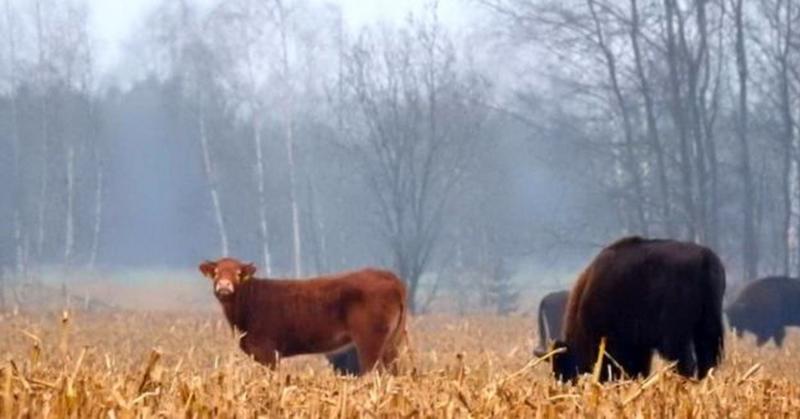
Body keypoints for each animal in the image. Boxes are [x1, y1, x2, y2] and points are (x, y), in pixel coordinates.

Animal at [200, 258, 406, 376]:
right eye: (216, 272)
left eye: (238, 273)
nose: (224, 286)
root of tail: (390, 277)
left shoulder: (267, 351)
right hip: (392, 342)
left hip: (370, 341)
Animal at [552, 238, 724, 382]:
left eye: (562, 367)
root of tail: (705, 258)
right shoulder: (640, 347)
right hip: (708, 326)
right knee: (708, 360)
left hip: (676, 336)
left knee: (685, 362)